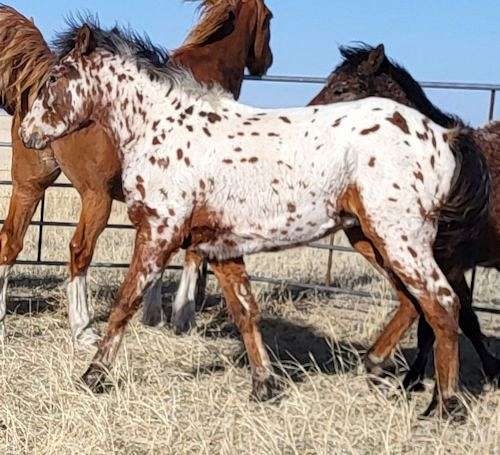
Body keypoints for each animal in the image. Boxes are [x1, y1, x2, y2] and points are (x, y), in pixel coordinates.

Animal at [0, 0, 274, 346]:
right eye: (270, 19)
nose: (267, 61)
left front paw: (153, 313)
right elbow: (192, 256)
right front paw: (182, 317)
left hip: (30, 185)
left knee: (10, 241)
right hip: (96, 198)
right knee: (79, 251)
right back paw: (83, 328)